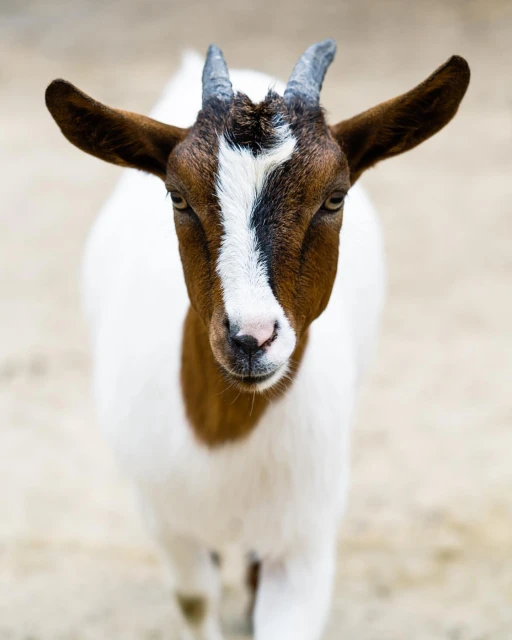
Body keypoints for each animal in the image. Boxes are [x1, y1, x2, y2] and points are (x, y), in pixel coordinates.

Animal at [45, 40, 470, 640]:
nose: (251, 338)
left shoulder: (304, 541)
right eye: (177, 196)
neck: (222, 437)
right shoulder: (164, 520)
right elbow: (195, 599)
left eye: (334, 198)